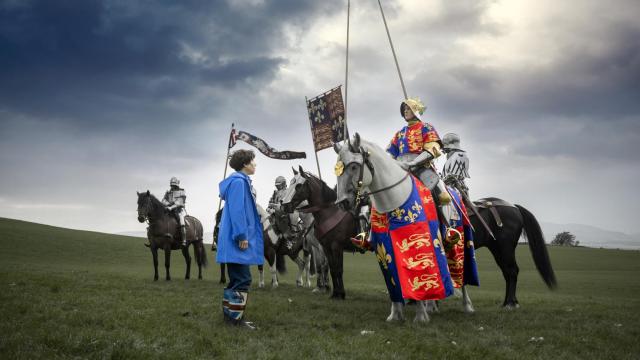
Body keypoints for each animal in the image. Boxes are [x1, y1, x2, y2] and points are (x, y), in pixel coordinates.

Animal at [332, 133, 472, 324]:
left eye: (354, 166)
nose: (342, 203)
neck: (394, 198)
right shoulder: (384, 247)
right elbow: (393, 280)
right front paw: (395, 314)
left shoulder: (416, 245)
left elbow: (416, 276)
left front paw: (420, 316)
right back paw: (432, 306)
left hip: (459, 243)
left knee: (461, 275)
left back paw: (467, 306)